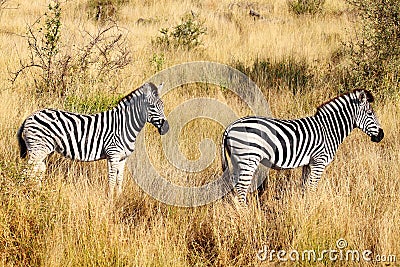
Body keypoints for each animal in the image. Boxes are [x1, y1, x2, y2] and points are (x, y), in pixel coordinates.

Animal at [17, 81, 169, 197]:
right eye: (152, 107)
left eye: (163, 106)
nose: (166, 128)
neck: (124, 126)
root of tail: (29, 117)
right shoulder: (113, 155)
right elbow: (112, 179)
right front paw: (110, 200)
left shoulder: (123, 158)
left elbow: (120, 179)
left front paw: (119, 197)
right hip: (37, 149)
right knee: (27, 170)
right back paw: (25, 192)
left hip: (44, 150)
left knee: (38, 169)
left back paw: (38, 191)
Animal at [222, 90, 384, 205]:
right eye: (370, 113)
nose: (381, 135)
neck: (329, 129)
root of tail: (230, 127)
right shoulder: (319, 162)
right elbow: (312, 188)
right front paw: (312, 208)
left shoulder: (309, 163)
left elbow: (305, 187)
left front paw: (305, 207)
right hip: (248, 159)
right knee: (241, 188)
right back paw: (246, 214)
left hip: (238, 160)